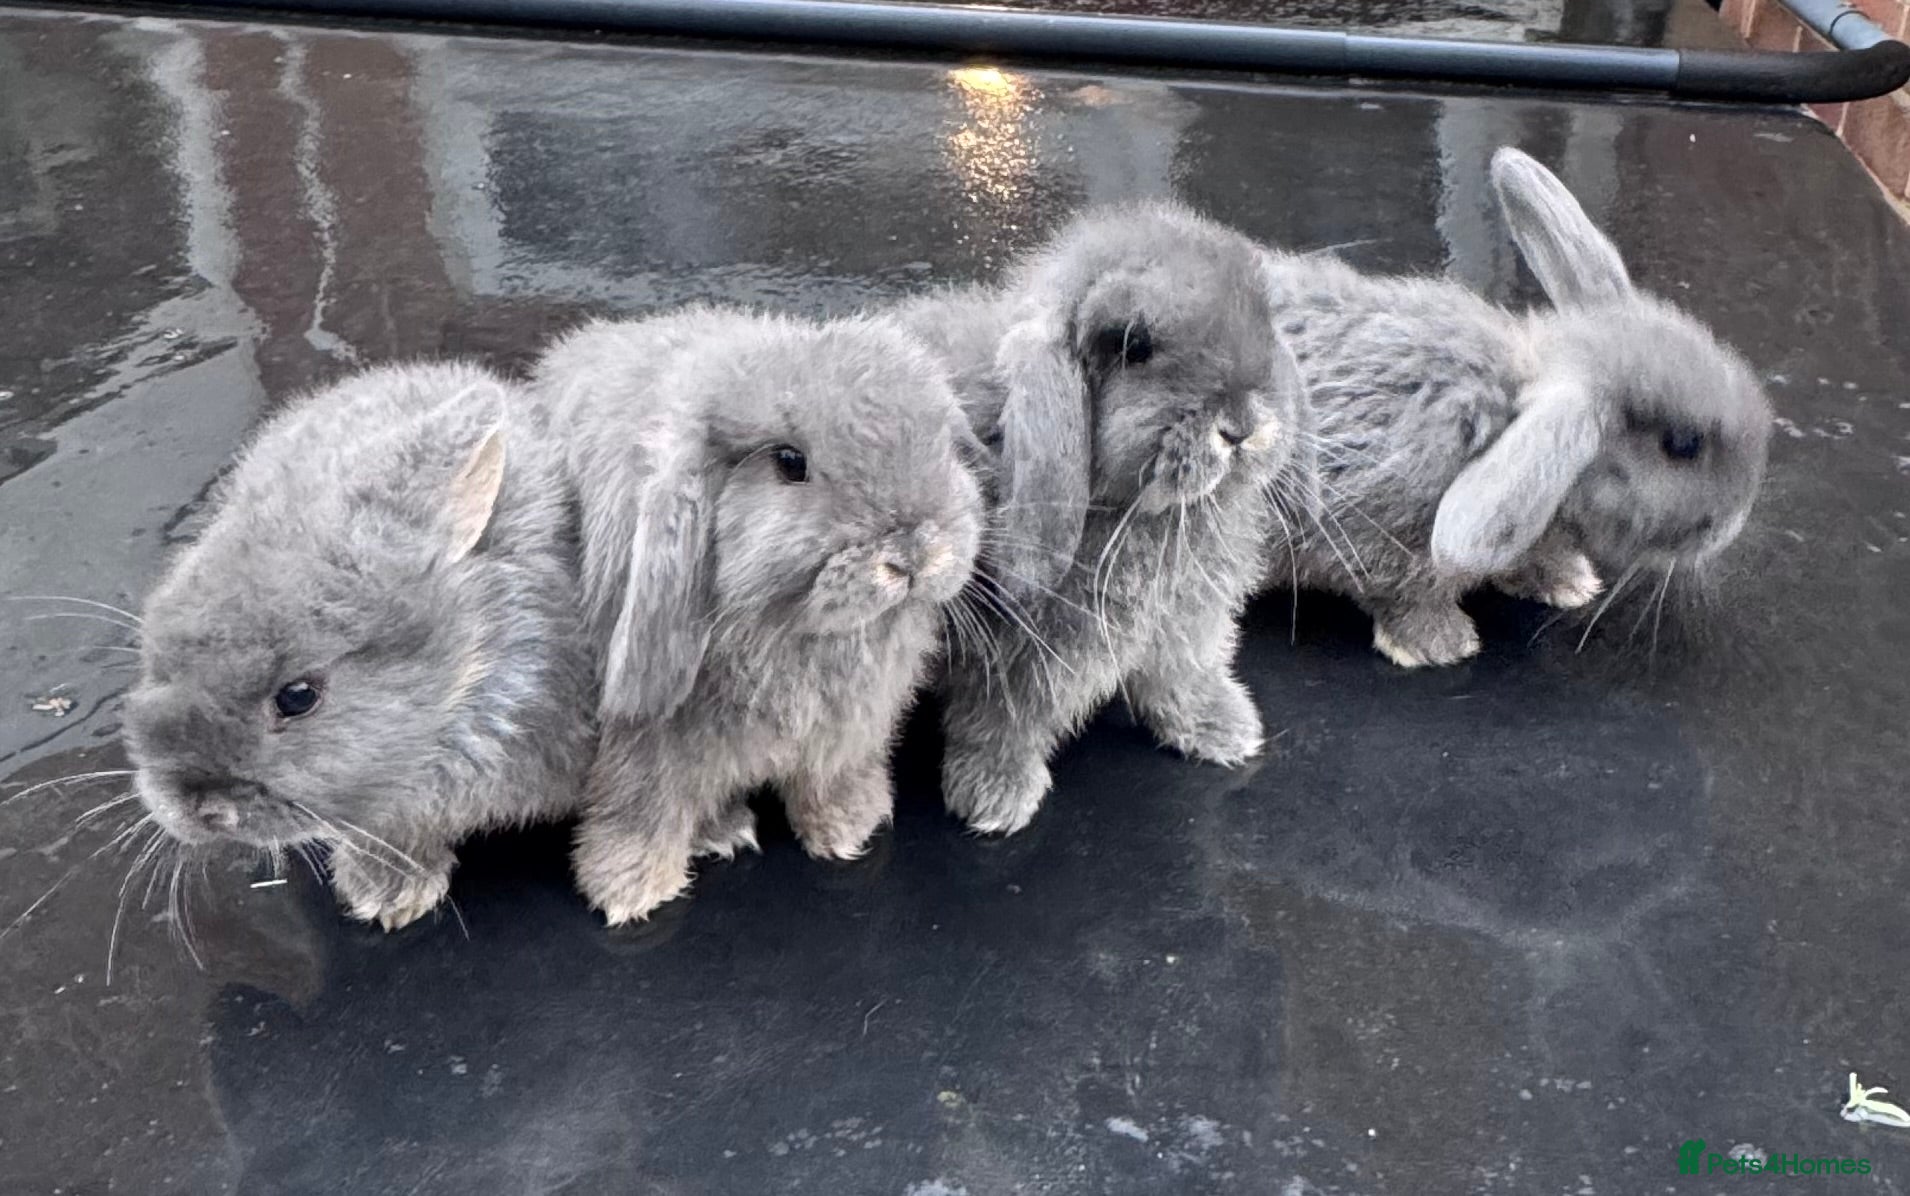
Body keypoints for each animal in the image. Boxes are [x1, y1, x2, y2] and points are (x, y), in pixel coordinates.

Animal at [534, 308, 985, 925]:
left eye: (945, 449)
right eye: (790, 464)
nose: (914, 553)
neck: (793, 634)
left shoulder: (847, 727)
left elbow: (831, 776)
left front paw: (850, 828)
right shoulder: (640, 745)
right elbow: (641, 806)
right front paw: (631, 889)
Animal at [893, 202, 1315, 836]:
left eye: (1264, 317)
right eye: (1134, 346)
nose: (1241, 426)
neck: (1140, 515)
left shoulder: (1183, 626)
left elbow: (1183, 677)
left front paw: (1225, 728)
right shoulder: (1008, 663)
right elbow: (998, 726)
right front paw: (995, 798)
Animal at [1256, 146, 1772, 668]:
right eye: (1681, 444)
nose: (1732, 524)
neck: (1509, 413)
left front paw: (1570, 584)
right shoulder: (1379, 535)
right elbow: (1404, 595)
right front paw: (1442, 645)